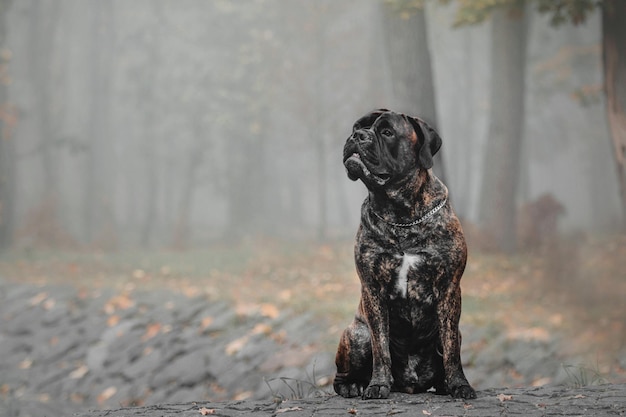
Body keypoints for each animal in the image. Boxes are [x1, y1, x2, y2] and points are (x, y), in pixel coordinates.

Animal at [332, 109, 472, 400]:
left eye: (387, 132)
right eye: (356, 127)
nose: (357, 136)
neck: (401, 215)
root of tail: (410, 384)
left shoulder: (449, 288)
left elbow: (451, 349)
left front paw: (459, 385)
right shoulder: (373, 290)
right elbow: (381, 347)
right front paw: (377, 385)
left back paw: (443, 384)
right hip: (357, 334)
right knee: (342, 376)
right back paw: (354, 385)